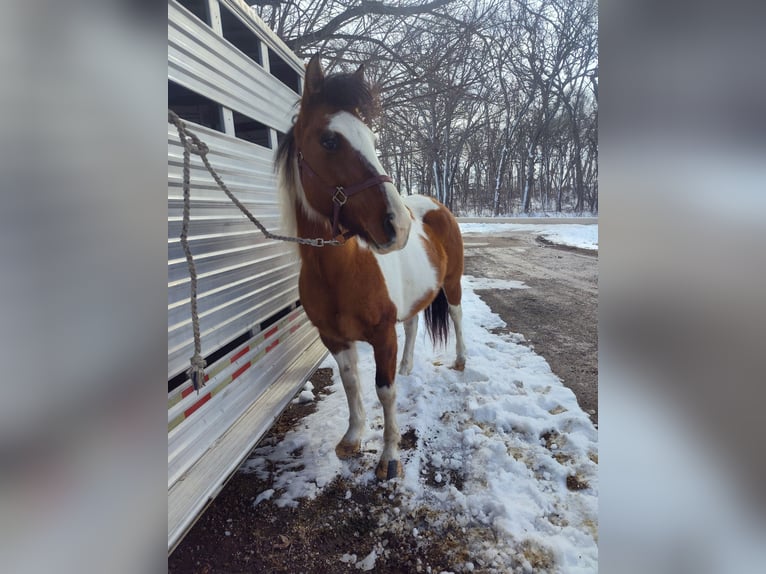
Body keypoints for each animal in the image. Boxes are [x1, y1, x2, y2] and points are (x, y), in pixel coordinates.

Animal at [278, 56, 468, 484]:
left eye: (370, 137)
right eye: (329, 140)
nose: (399, 224)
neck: (339, 272)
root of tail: (435, 204)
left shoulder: (382, 335)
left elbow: (385, 390)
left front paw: (389, 457)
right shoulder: (333, 337)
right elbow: (351, 382)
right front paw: (352, 438)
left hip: (452, 284)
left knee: (456, 315)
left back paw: (461, 361)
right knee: (412, 325)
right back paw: (409, 365)